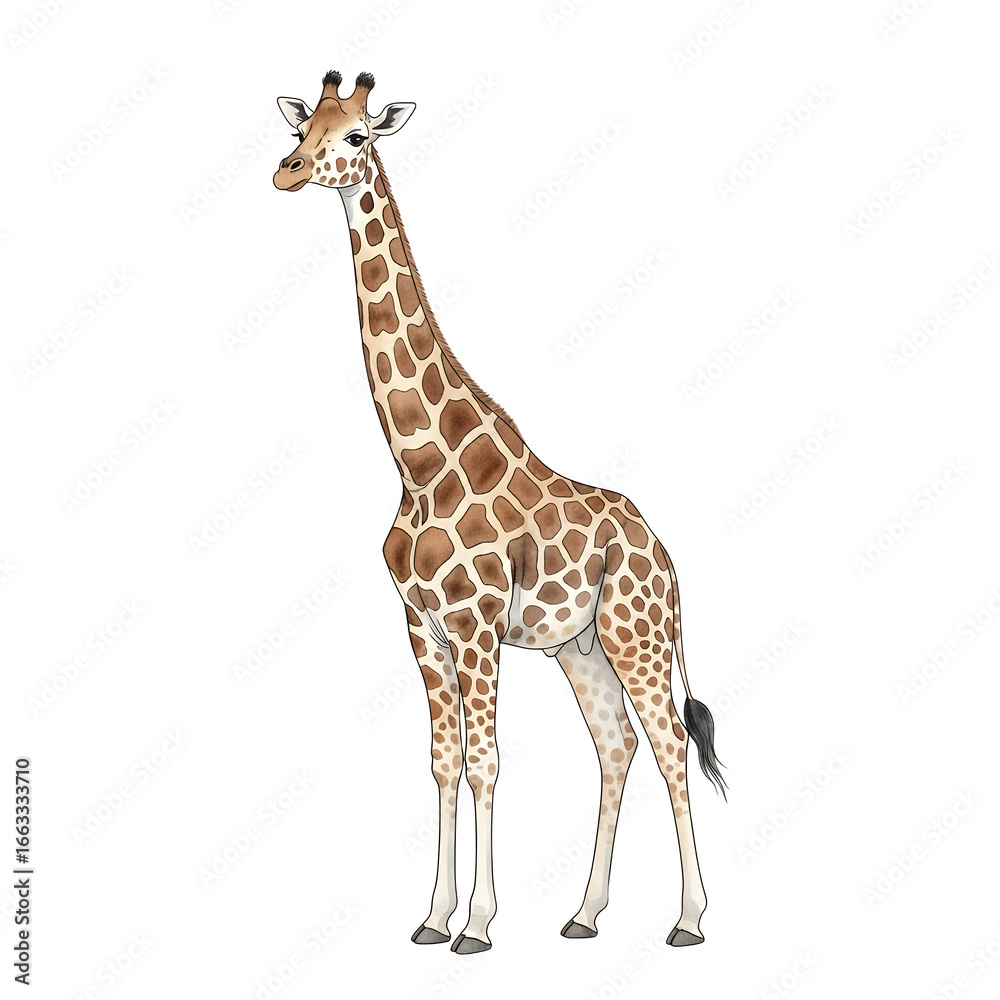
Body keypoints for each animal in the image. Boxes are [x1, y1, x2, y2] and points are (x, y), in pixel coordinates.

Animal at [273, 70, 726, 954]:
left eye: (356, 137)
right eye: (304, 126)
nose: (288, 171)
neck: (419, 464)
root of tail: (665, 555)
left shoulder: (476, 620)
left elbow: (487, 760)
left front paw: (477, 926)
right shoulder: (420, 621)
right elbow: (445, 760)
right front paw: (432, 916)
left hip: (637, 636)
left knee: (669, 745)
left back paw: (689, 920)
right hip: (580, 646)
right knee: (616, 746)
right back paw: (583, 914)